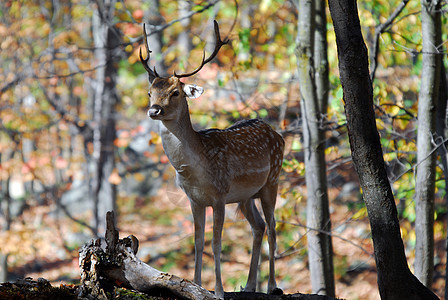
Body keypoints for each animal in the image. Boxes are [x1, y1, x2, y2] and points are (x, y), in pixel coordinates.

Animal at [139, 21, 284, 298]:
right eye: (150, 92)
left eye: (175, 92)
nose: (153, 110)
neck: (195, 169)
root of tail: (276, 133)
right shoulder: (194, 200)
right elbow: (198, 242)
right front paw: (196, 284)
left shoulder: (219, 195)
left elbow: (217, 243)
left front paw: (218, 290)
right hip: (246, 196)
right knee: (259, 226)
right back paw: (250, 284)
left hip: (272, 181)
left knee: (272, 227)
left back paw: (272, 286)